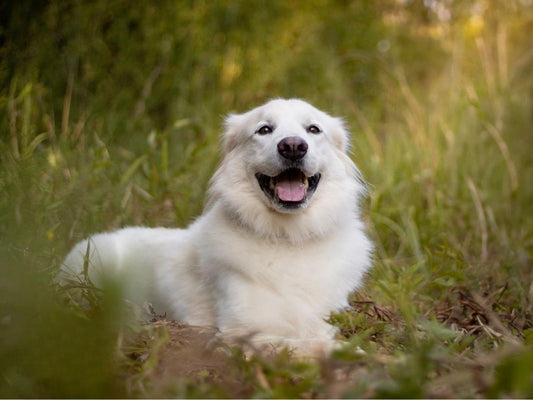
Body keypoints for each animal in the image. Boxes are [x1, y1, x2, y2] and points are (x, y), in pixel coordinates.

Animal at [60, 98, 372, 354]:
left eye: (313, 129)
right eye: (264, 130)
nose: (293, 146)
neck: (287, 238)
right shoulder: (239, 334)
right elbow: (306, 345)